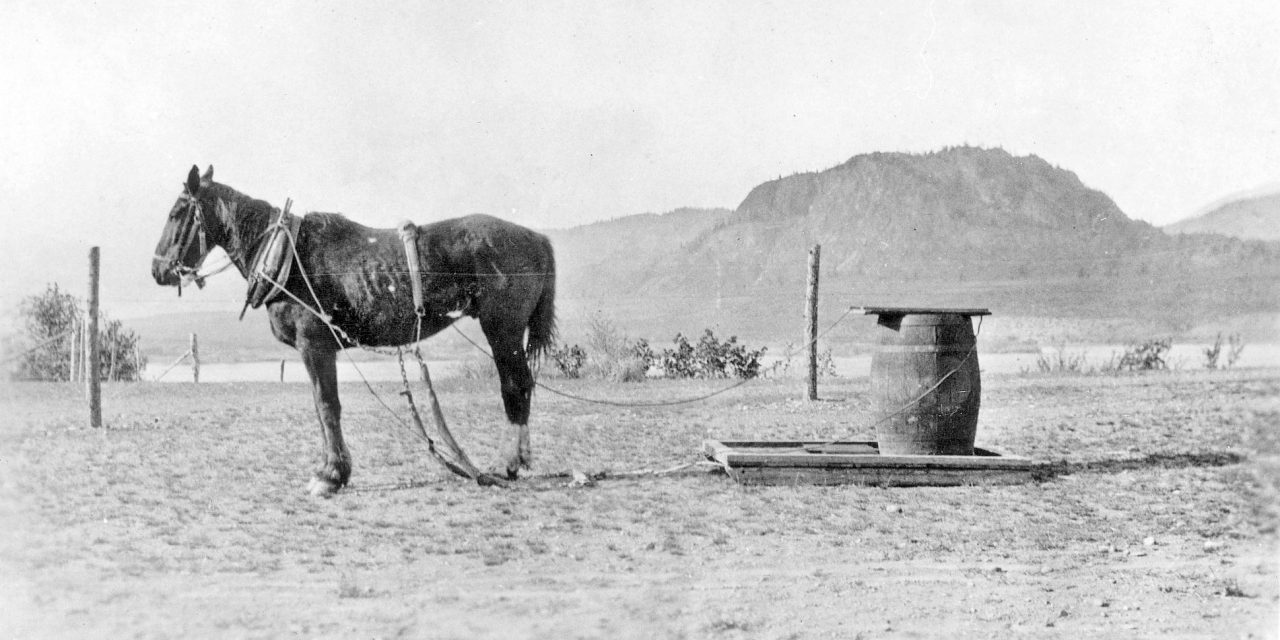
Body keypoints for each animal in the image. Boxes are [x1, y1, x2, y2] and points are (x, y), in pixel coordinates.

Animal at [151, 165, 556, 495]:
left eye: (175, 213)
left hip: (502, 328)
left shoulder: (314, 346)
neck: (287, 255)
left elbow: (327, 406)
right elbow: (323, 408)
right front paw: (334, 470)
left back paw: (507, 462)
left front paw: (331, 474)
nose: (157, 270)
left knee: (514, 386)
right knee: (521, 385)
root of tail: (538, 238)